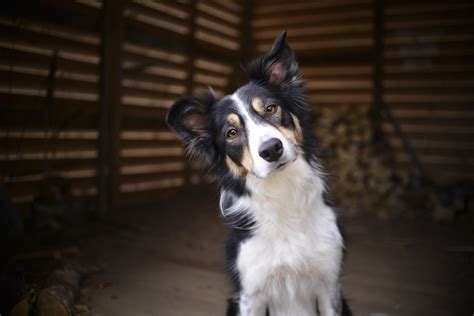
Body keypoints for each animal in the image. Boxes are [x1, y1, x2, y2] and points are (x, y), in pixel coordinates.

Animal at [167, 30, 352, 316]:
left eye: (271, 108)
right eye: (232, 133)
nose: (271, 150)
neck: (282, 194)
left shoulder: (329, 286)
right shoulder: (251, 295)